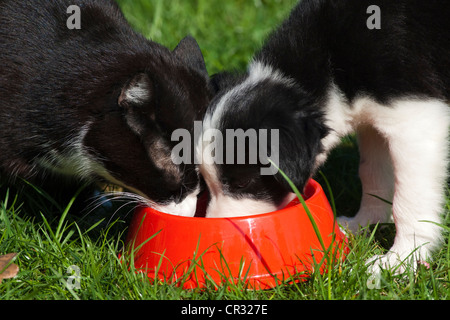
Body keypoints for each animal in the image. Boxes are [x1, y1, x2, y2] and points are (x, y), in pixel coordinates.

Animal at [200, 0, 450, 274]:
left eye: (243, 183)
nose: (218, 239)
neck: (329, 67)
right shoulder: (374, 120)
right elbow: (372, 173)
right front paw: (363, 224)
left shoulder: (415, 118)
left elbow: (408, 199)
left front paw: (399, 260)